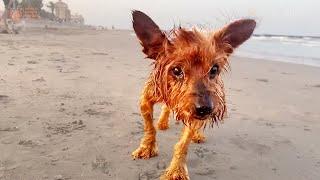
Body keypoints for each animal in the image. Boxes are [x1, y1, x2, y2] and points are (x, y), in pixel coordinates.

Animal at [131, 10, 255, 180]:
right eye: (176, 70)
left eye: (214, 69)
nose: (205, 109)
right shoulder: (146, 99)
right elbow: (149, 127)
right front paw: (147, 147)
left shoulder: (194, 115)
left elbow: (183, 144)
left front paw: (176, 170)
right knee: (166, 108)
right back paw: (162, 122)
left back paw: (196, 134)